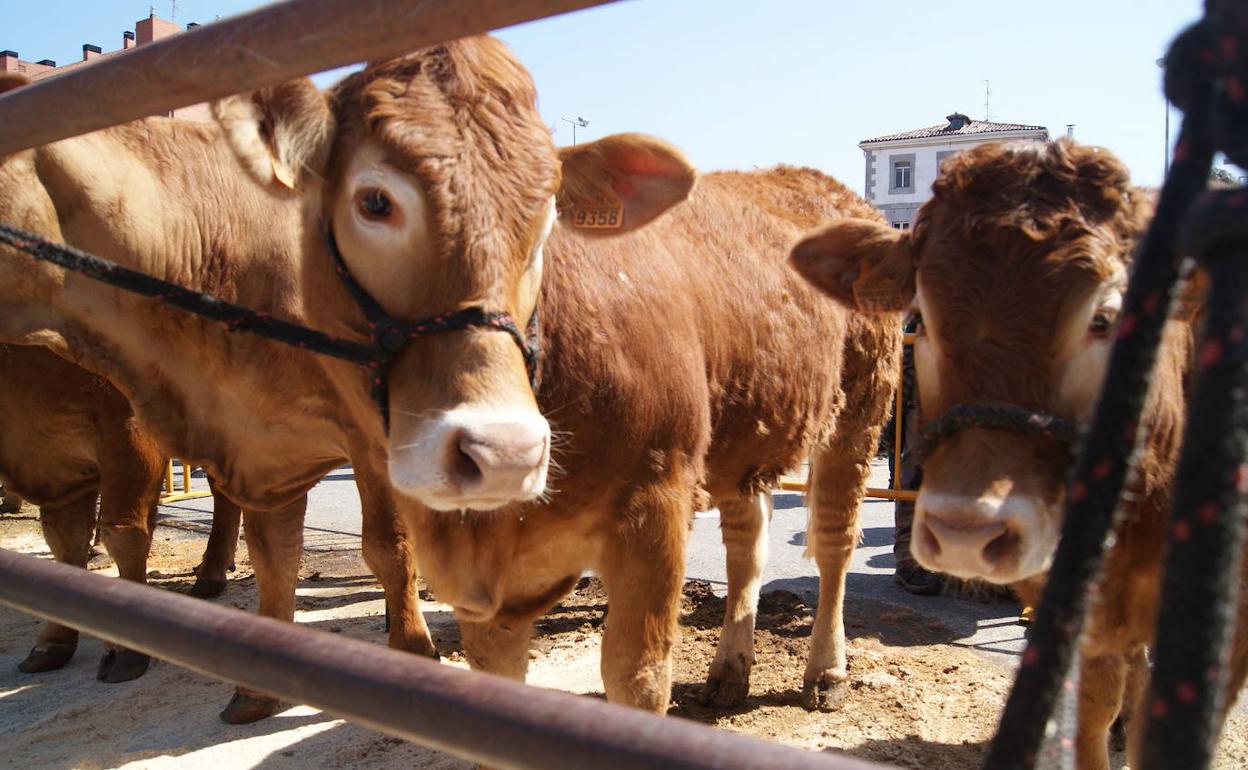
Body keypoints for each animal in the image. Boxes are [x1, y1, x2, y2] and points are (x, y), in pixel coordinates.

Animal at [1, 341, 243, 678]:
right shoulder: (60, 460)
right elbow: (65, 543)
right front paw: (52, 642)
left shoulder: (129, 429)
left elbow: (123, 533)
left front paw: (128, 648)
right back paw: (210, 575)